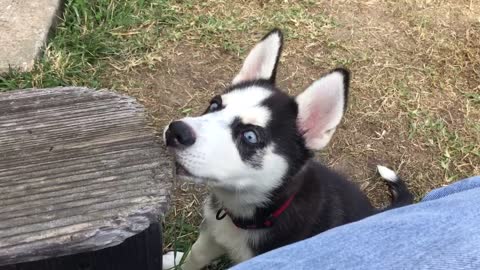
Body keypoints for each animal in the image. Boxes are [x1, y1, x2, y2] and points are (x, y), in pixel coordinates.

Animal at [161, 28, 412, 268]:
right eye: (214, 105)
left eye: (250, 136)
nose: (176, 131)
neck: (249, 218)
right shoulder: (213, 233)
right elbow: (194, 257)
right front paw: (176, 262)